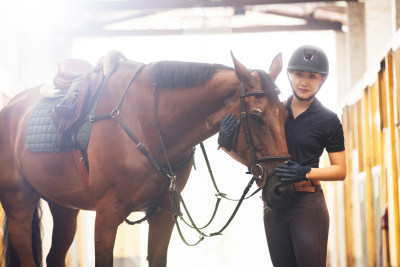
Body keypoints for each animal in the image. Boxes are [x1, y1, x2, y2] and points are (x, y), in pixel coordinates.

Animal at [0, 50, 288, 267]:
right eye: (256, 116)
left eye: (285, 113)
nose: (281, 185)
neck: (149, 121)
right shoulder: (107, 215)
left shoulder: (163, 214)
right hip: (19, 204)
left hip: (64, 207)